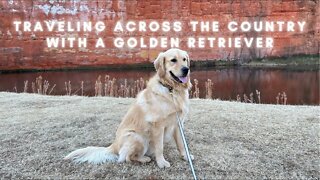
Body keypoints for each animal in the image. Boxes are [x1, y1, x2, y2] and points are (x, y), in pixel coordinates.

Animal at [63, 48, 191, 168]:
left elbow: (181, 144)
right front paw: (161, 163)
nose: (186, 70)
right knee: (127, 158)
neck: (172, 90)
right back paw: (144, 159)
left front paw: (186, 156)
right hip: (137, 137)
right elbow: (160, 148)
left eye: (184, 59)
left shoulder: (178, 123)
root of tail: (114, 145)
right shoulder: (158, 125)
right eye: (173, 60)